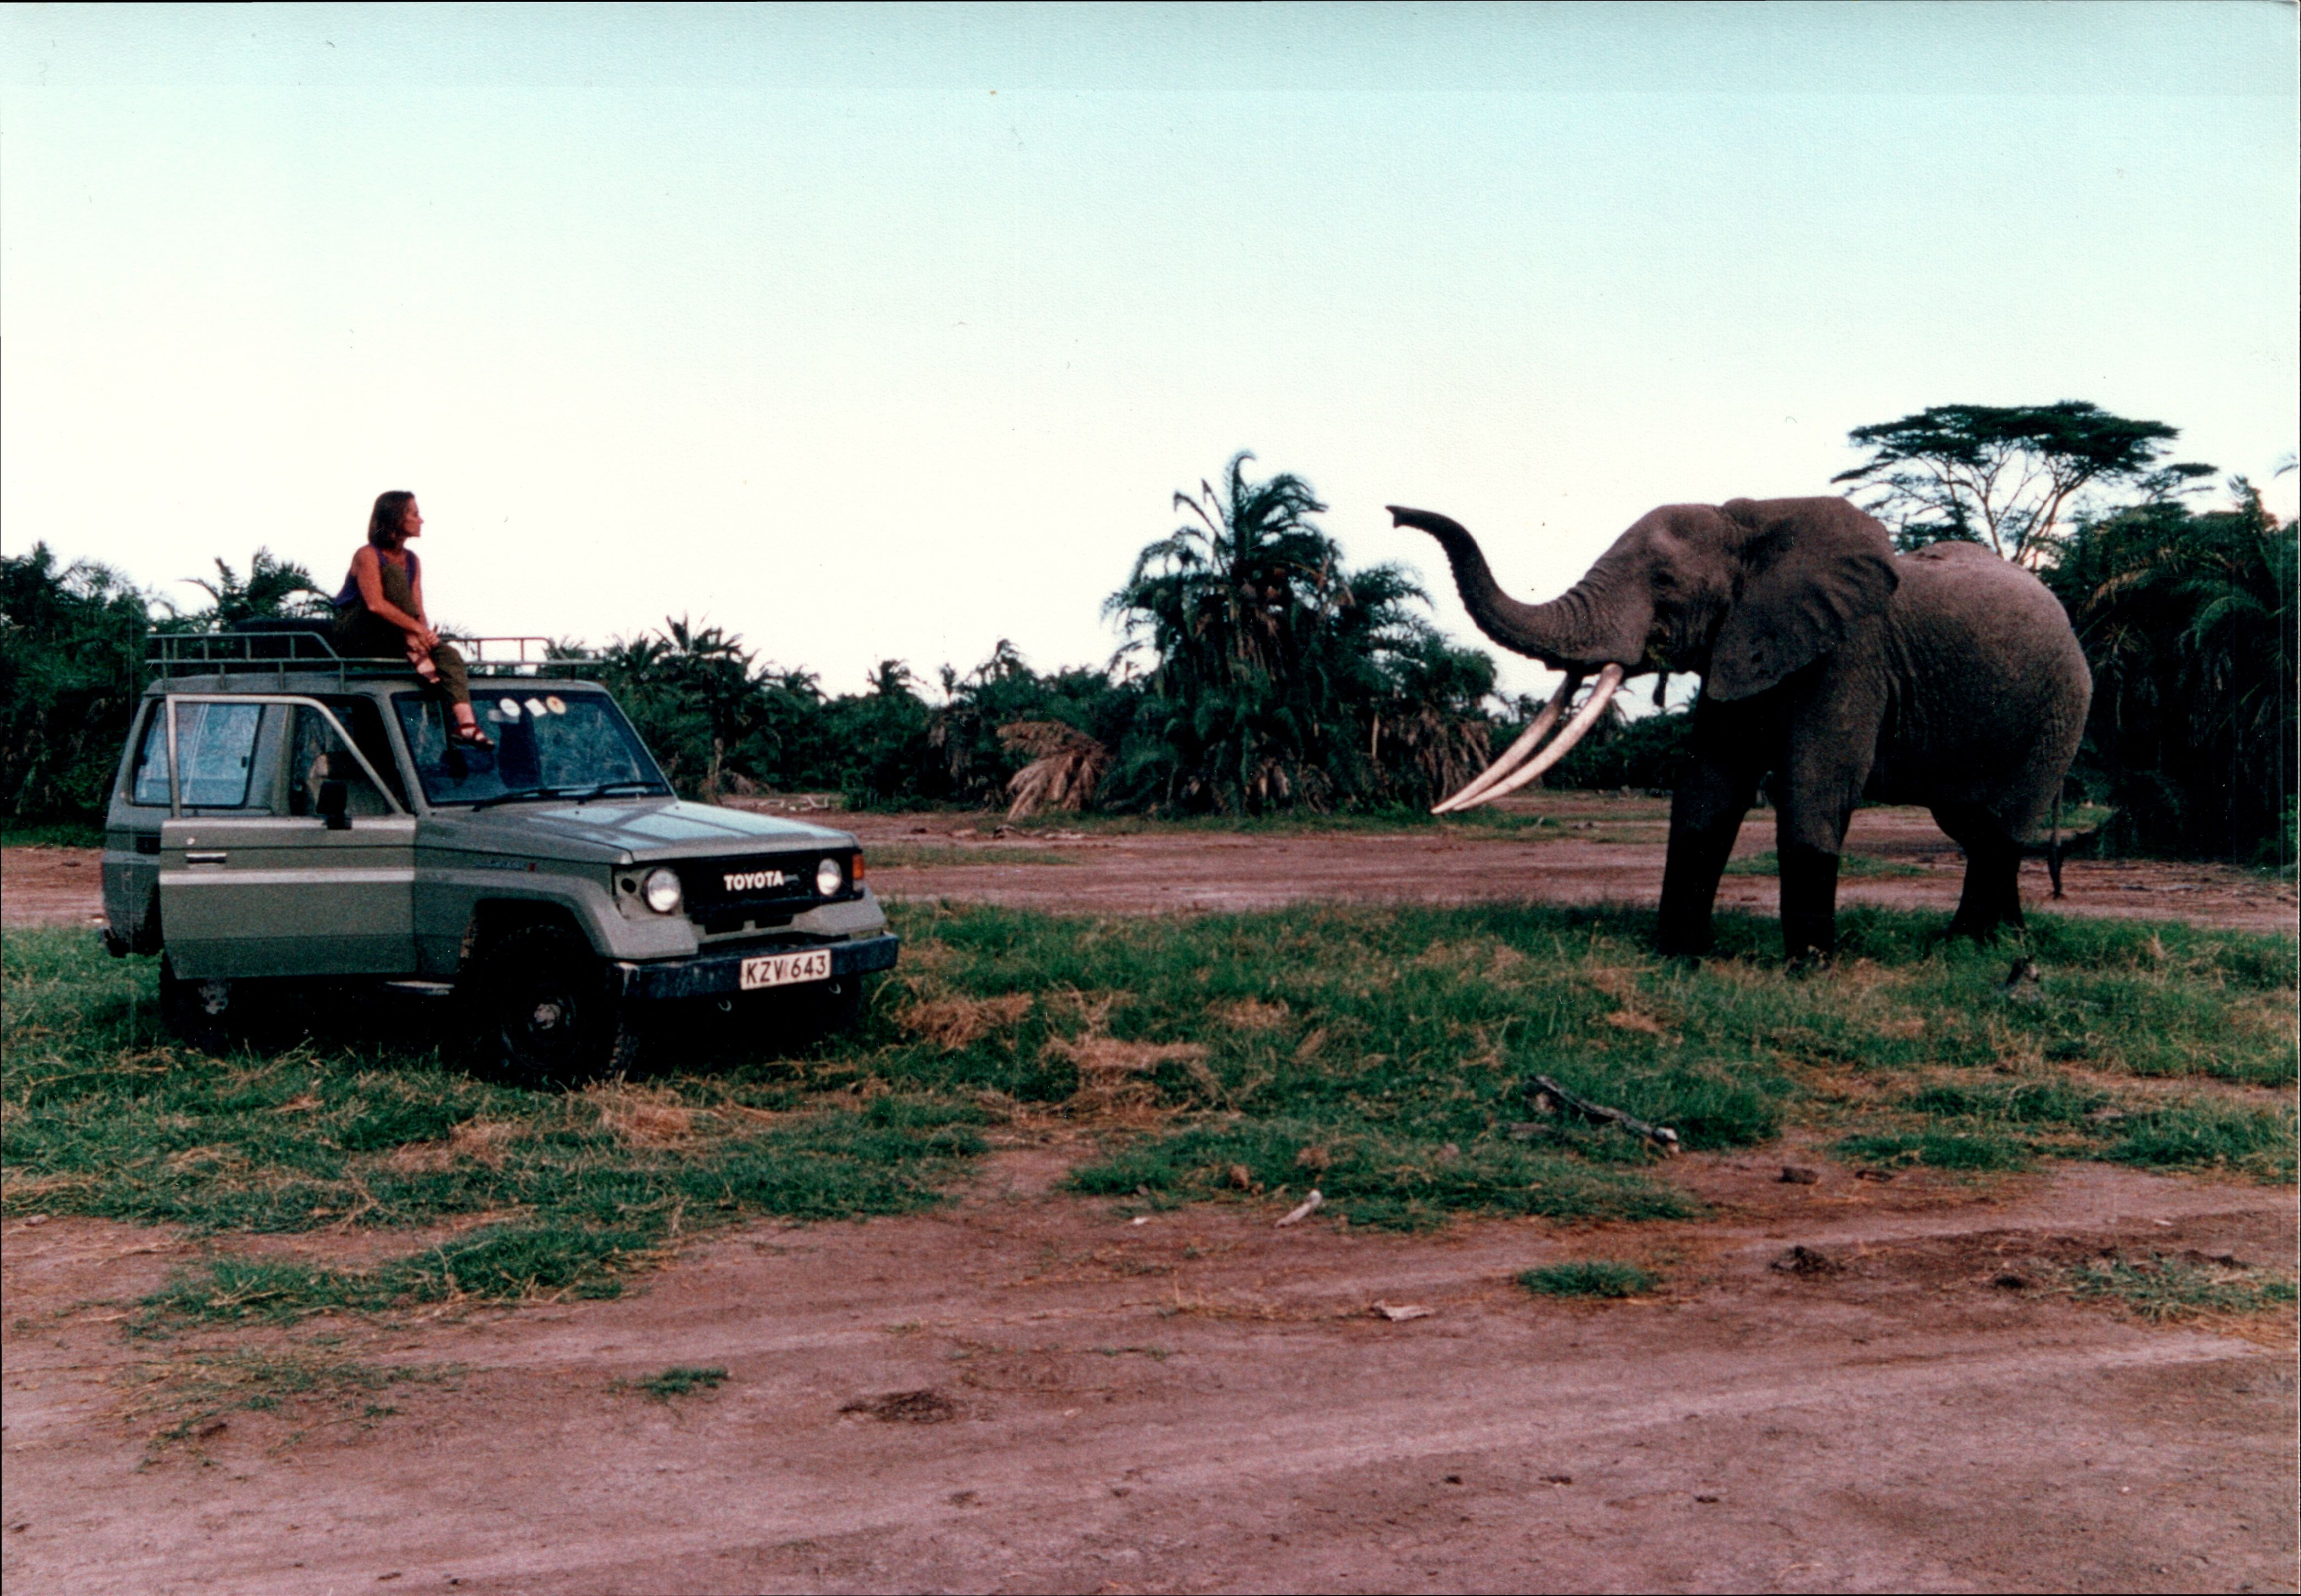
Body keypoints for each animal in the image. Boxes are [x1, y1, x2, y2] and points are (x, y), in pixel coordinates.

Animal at [1387, 497, 2092, 961]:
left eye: (1665, 583)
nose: (1395, 513)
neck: (1752, 521)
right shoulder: (1740, 642)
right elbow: (1708, 786)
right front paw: (1677, 955)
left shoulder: (1848, 655)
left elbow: (1815, 787)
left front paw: (1808, 968)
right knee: (1971, 825)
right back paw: (1989, 942)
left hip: (2062, 706)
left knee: (2002, 824)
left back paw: (1976, 946)